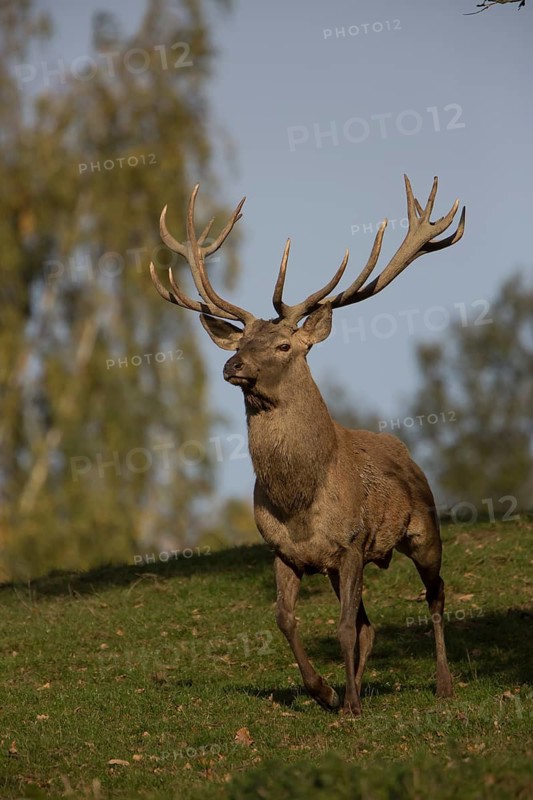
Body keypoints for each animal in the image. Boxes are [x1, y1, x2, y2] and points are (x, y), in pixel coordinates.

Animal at [149, 175, 465, 716]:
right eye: (239, 344)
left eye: (283, 346)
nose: (232, 366)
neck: (298, 499)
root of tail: (404, 450)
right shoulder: (283, 551)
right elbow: (287, 620)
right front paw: (326, 691)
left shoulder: (353, 543)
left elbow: (340, 627)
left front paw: (350, 702)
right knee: (370, 624)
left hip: (425, 529)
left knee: (436, 595)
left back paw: (441, 683)